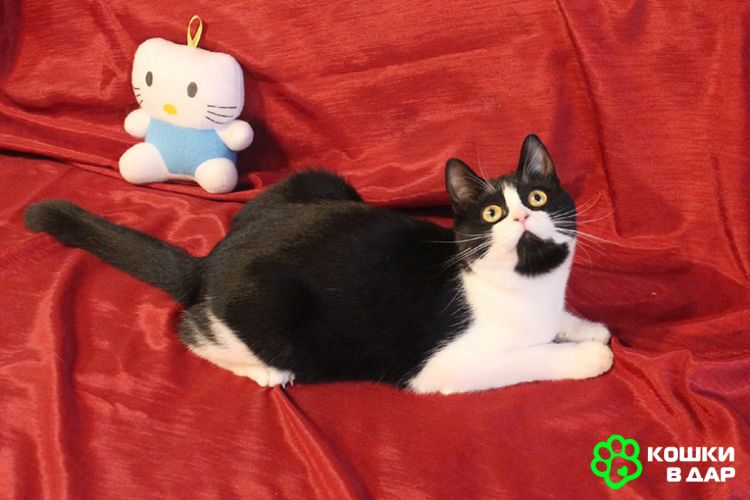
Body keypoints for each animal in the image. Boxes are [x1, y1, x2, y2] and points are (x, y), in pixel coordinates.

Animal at [24, 134, 613, 395]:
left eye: (536, 198)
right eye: (492, 213)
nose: (520, 216)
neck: (528, 286)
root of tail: (211, 258)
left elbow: (556, 324)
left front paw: (587, 327)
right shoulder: (444, 366)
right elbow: (531, 357)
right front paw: (587, 356)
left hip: (318, 180)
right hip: (271, 314)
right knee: (191, 329)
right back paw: (264, 369)